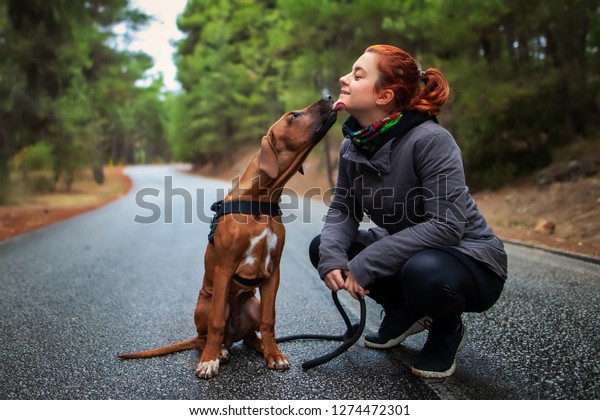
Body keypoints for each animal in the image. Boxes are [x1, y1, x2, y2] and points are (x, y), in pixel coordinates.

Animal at [119, 97, 336, 378]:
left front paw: (274, 354)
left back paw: (258, 346)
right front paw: (209, 361)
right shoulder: (224, 268)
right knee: (205, 336)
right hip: (208, 305)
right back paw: (216, 351)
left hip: (252, 304)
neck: (260, 201)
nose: (329, 98)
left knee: (250, 334)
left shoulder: (274, 272)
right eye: (294, 116)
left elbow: (269, 320)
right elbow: (216, 324)